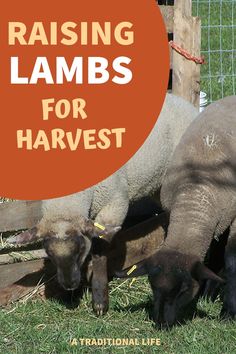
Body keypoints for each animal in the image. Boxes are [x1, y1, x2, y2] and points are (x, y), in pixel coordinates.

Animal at [8, 93, 198, 316]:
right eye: (49, 253)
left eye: (80, 249)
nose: (69, 285)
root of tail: (181, 100)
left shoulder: (113, 206)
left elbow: (99, 251)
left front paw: (99, 301)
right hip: (160, 187)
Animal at [115, 96, 236, 326]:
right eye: (152, 286)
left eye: (184, 290)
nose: (161, 323)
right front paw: (207, 293)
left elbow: (232, 261)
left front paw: (228, 312)